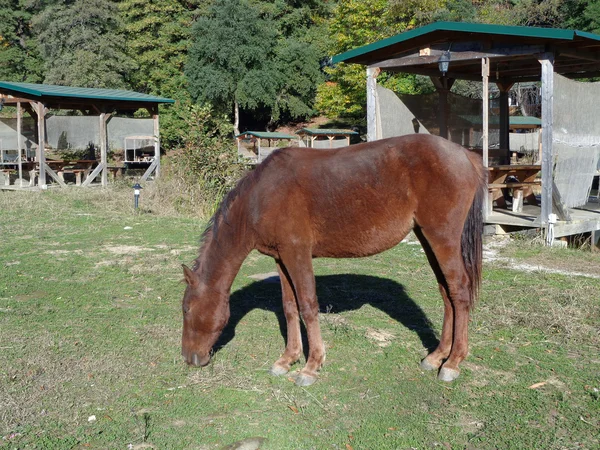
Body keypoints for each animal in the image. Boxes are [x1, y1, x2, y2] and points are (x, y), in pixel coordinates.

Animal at [180, 134, 486, 386]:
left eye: (186, 309)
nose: (188, 358)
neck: (261, 197)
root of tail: (465, 155)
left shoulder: (298, 254)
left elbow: (307, 306)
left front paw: (311, 366)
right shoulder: (281, 258)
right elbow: (289, 307)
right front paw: (288, 359)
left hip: (442, 238)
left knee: (459, 291)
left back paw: (453, 362)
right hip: (427, 238)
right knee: (446, 293)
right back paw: (436, 356)